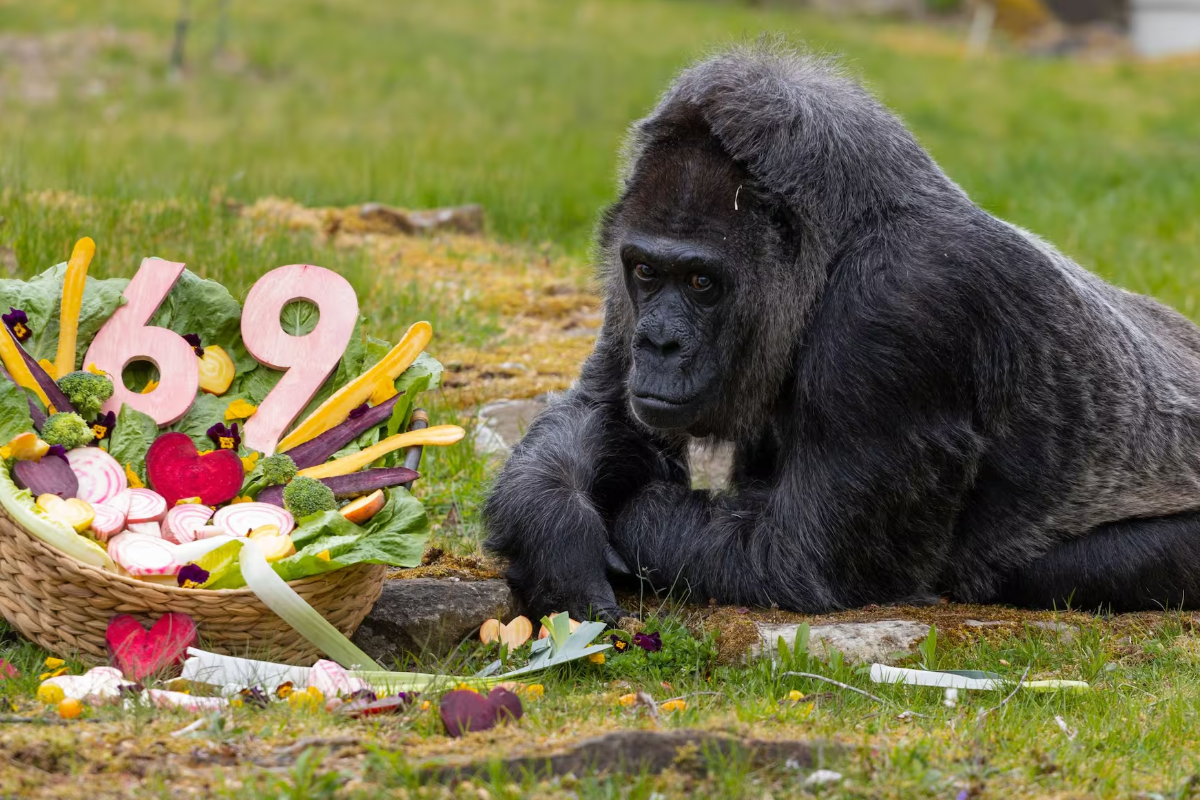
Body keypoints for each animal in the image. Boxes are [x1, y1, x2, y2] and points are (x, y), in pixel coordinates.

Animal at [483, 44, 1200, 622]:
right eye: (646, 272)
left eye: (702, 283)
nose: (658, 343)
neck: (841, 239)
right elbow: (607, 410)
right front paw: (558, 536)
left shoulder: (901, 304)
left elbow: (797, 559)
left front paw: (630, 516)